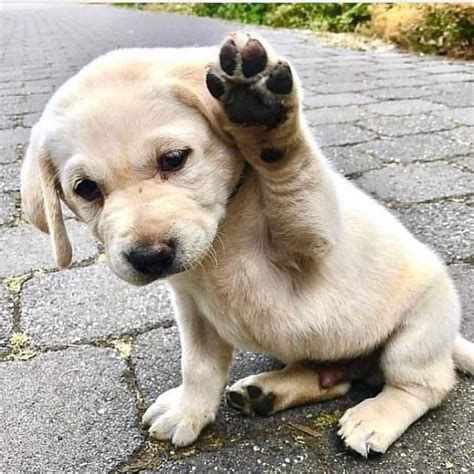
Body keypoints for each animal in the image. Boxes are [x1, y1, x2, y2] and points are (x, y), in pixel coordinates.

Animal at [20, 32, 472, 456]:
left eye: (174, 159)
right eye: (86, 189)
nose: (150, 257)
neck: (225, 226)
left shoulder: (316, 242)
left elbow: (292, 176)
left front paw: (263, 119)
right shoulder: (193, 308)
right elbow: (198, 366)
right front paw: (189, 410)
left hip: (419, 329)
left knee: (425, 386)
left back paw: (377, 416)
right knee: (332, 380)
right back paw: (268, 393)